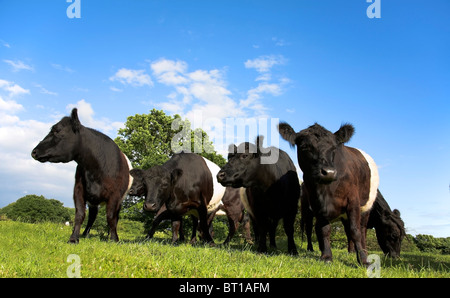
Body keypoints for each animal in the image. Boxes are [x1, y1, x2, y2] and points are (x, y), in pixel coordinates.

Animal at [31, 108, 132, 243]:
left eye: (57, 131)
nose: (34, 152)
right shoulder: (78, 189)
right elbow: (79, 214)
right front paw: (74, 238)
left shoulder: (115, 195)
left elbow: (111, 217)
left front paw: (114, 239)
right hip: (93, 200)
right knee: (92, 216)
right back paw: (85, 234)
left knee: (114, 216)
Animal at [278, 122, 380, 264]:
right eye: (305, 147)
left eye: (334, 148)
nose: (329, 172)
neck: (326, 191)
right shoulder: (317, 205)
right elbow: (324, 230)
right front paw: (326, 256)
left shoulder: (353, 201)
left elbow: (355, 231)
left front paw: (363, 260)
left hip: (366, 206)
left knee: (362, 229)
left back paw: (363, 251)